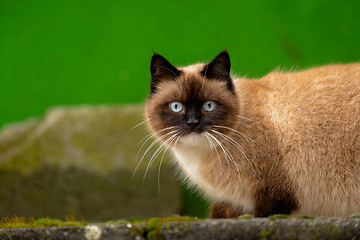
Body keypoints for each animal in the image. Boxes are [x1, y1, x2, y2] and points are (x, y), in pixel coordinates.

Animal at [145, 50, 360, 218]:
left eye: (209, 105)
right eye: (176, 106)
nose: (192, 122)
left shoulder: (272, 193)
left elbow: (265, 214)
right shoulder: (233, 202)